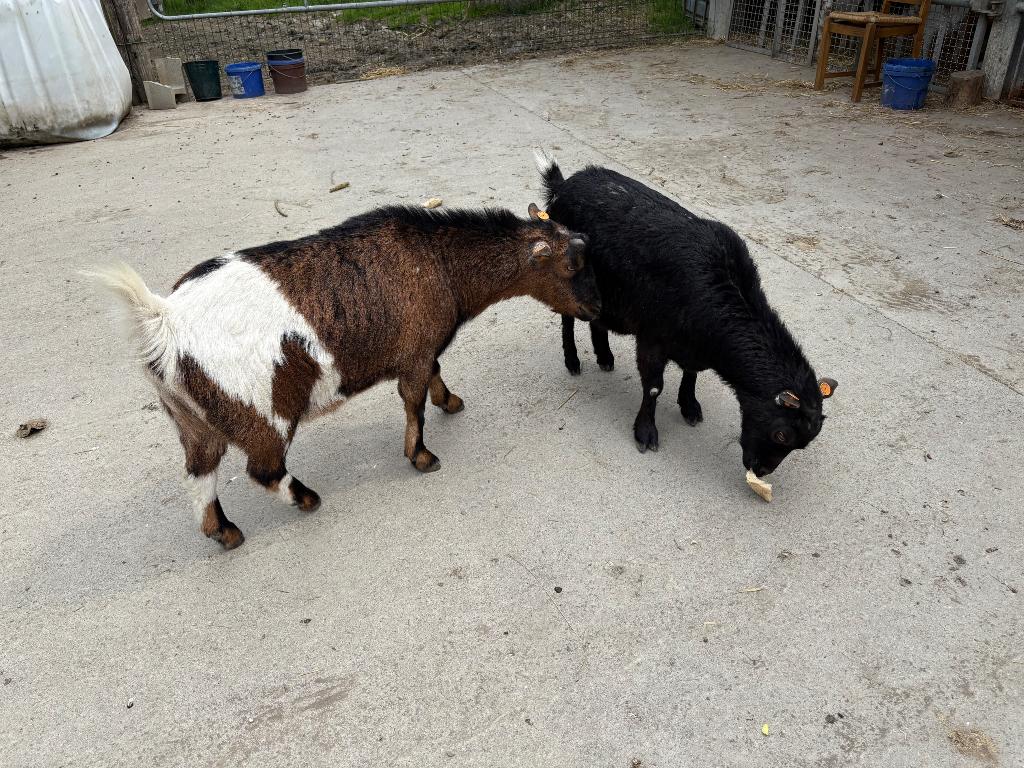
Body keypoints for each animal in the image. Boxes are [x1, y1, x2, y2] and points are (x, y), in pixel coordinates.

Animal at [93, 203, 600, 549]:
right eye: (571, 265)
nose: (597, 309)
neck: (439, 263)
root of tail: (163, 320)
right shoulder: (415, 351)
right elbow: (414, 400)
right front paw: (421, 455)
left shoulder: (420, 351)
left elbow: (434, 375)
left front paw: (451, 401)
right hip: (261, 410)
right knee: (263, 469)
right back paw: (307, 499)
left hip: (192, 418)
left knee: (199, 474)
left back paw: (226, 532)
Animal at [535, 152, 837, 479]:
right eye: (781, 434)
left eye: (800, 444)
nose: (760, 471)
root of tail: (562, 186)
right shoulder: (652, 337)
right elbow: (654, 387)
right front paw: (645, 432)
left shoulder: (692, 344)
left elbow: (691, 372)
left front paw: (689, 405)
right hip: (567, 277)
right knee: (566, 318)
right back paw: (573, 360)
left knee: (597, 322)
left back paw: (604, 356)